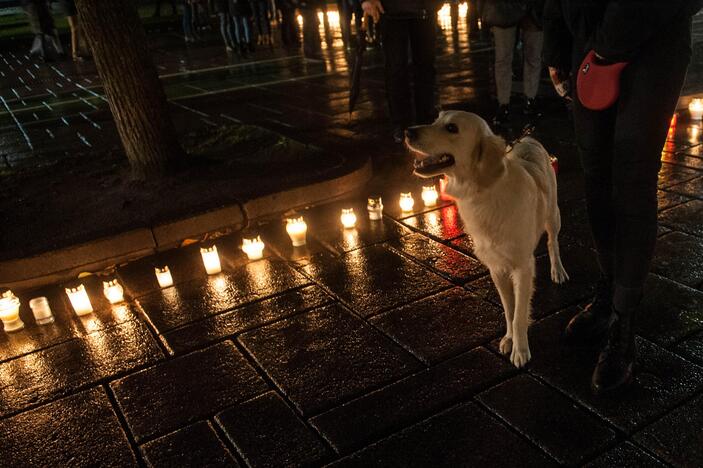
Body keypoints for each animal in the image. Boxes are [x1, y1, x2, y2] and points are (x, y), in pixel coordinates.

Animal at [404, 111, 568, 368]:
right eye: (436, 119)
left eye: (452, 128)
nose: (407, 132)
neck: (482, 192)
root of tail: (528, 139)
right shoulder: (497, 268)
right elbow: (509, 310)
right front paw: (509, 338)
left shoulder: (523, 267)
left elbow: (519, 314)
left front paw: (520, 350)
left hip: (553, 216)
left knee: (553, 243)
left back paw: (558, 271)